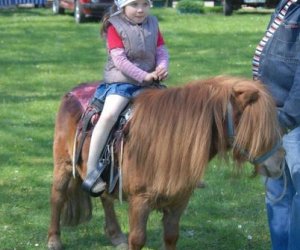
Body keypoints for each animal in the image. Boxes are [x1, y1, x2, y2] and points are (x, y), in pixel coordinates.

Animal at [47, 76, 284, 250]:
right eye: (256, 127)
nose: (280, 163)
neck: (164, 143)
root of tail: (73, 92)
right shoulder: (140, 201)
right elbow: (138, 239)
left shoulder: (179, 201)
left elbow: (171, 236)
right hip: (63, 165)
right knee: (58, 197)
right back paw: (54, 239)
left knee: (106, 197)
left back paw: (115, 236)